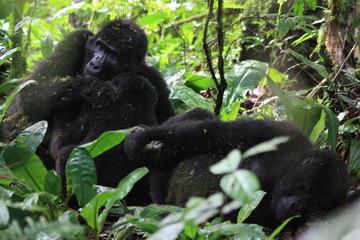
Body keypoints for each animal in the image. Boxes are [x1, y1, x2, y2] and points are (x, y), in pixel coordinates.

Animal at [0, 19, 174, 205]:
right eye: (99, 46)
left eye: (113, 54)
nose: (95, 63)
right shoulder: (76, 39)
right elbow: (32, 90)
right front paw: (94, 88)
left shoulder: (153, 77)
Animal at [125, 108, 350, 225]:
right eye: (307, 188)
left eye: (316, 202)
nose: (298, 207)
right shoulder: (282, 131)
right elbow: (211, 134)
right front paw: (136, 143)